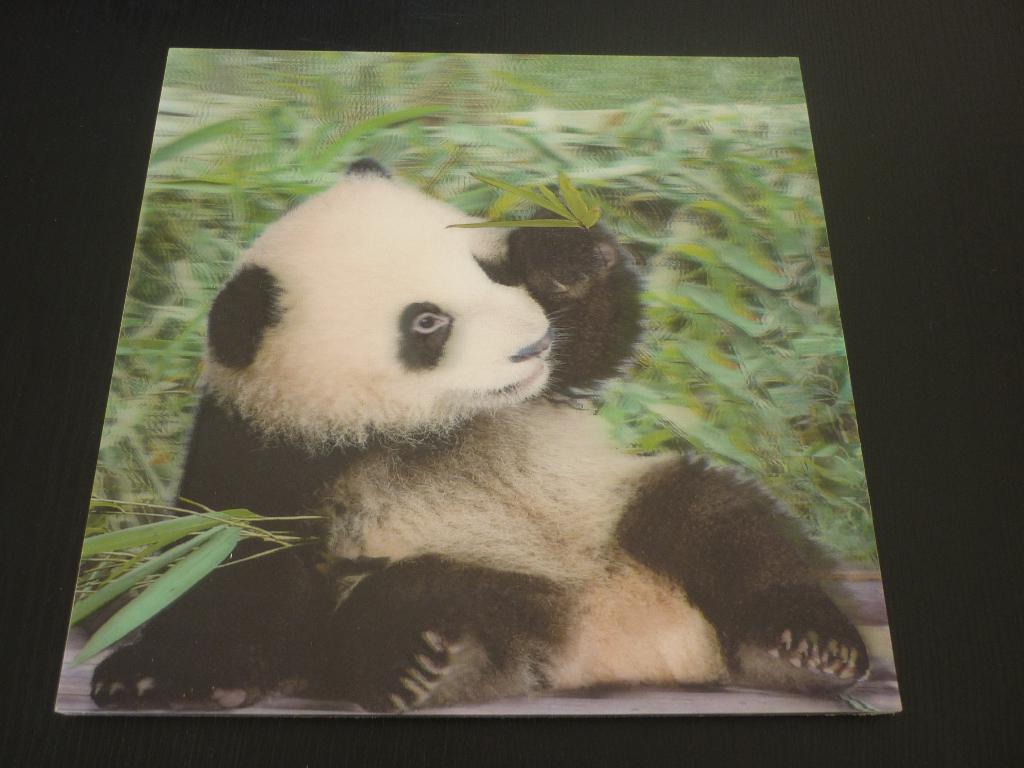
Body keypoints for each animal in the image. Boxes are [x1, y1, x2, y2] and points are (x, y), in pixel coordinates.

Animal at [90, 158, 869, 712]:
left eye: (485, 270)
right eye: (427, 322)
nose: (530, 345)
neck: (417, 430)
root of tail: (619, 638)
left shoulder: (542, 394)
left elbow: (595, 339)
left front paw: (566, 255)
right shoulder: (268, 450)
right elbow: (231, 568)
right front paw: (151, 676)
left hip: (615, 511)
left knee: (721, 522)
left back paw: (802, 647)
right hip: (480, 573)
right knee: (409, 602)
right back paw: (430, 666)